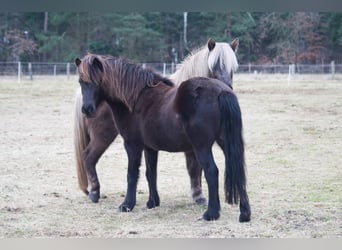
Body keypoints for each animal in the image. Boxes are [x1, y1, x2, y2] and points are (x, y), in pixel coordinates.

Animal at [75, 52, 251, 221]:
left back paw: (211, 213)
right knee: (238, 169)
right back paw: (244, 214)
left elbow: (132, 174)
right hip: (226, 142)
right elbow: (150, 173)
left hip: (202, 147)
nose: (87, 109)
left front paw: (127, 205)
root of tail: (222, 91)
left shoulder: (132, 145)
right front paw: (152, 202)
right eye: (81, 81)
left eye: (96, 81)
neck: (136, 99)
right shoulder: (150, 148)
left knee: (211, 171)